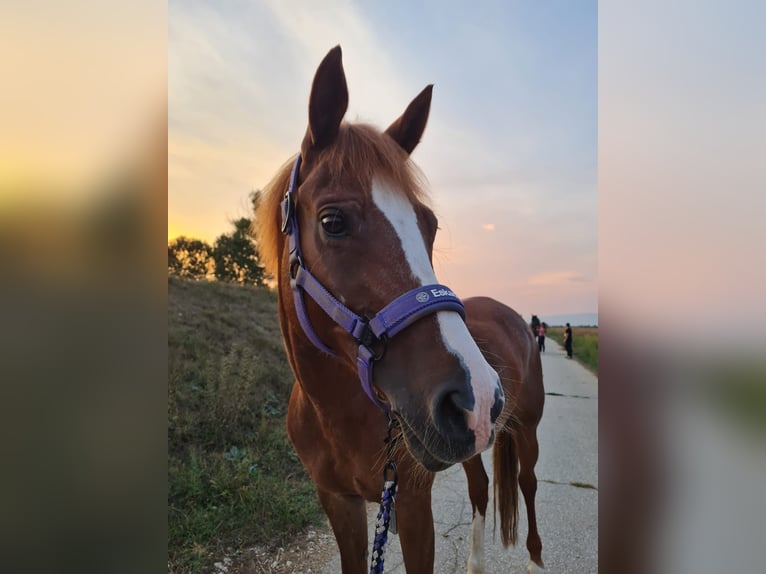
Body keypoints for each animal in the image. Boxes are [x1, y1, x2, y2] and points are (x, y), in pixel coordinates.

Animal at [255, 46, 545, 574]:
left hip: (525, 429)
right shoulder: (339, 503)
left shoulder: (411, 505)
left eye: (428, 224)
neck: (337, 416)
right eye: (333, 221)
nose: (476, 395)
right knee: (481, 488)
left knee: (528, 487)